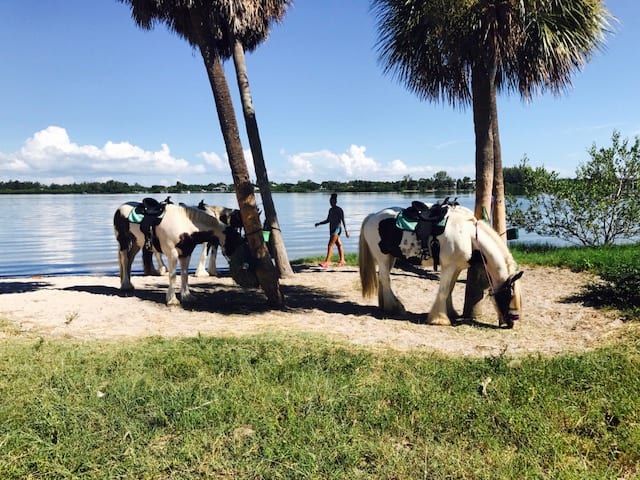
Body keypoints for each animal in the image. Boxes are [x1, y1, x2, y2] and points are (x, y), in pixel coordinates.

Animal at [114, 201, 244, 306]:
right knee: (125, 260)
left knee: (129, 260)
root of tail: (120, 208)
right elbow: (172, 276)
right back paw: (125, 285)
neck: (184, 223)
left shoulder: (186, 253)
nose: (239, 267)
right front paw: (172, 300)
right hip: (123, 241)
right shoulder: (172, 254)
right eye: (235, 242)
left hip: (137, 243)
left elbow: (184, 274)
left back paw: (129, 284)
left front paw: (187, 296)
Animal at [358, 204, 524, 328]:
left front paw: (450, 312)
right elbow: (444, 291)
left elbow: (449, 289)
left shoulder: (456, 267)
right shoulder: (448, 266)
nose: (512, 323)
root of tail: (372, 216)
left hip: (391, 258)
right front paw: (439, 319)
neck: (468, 236)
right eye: (508, 294)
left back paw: (385, 306)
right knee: (386, 280)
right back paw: (394, 308)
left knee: (382, 279)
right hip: (383, 257)